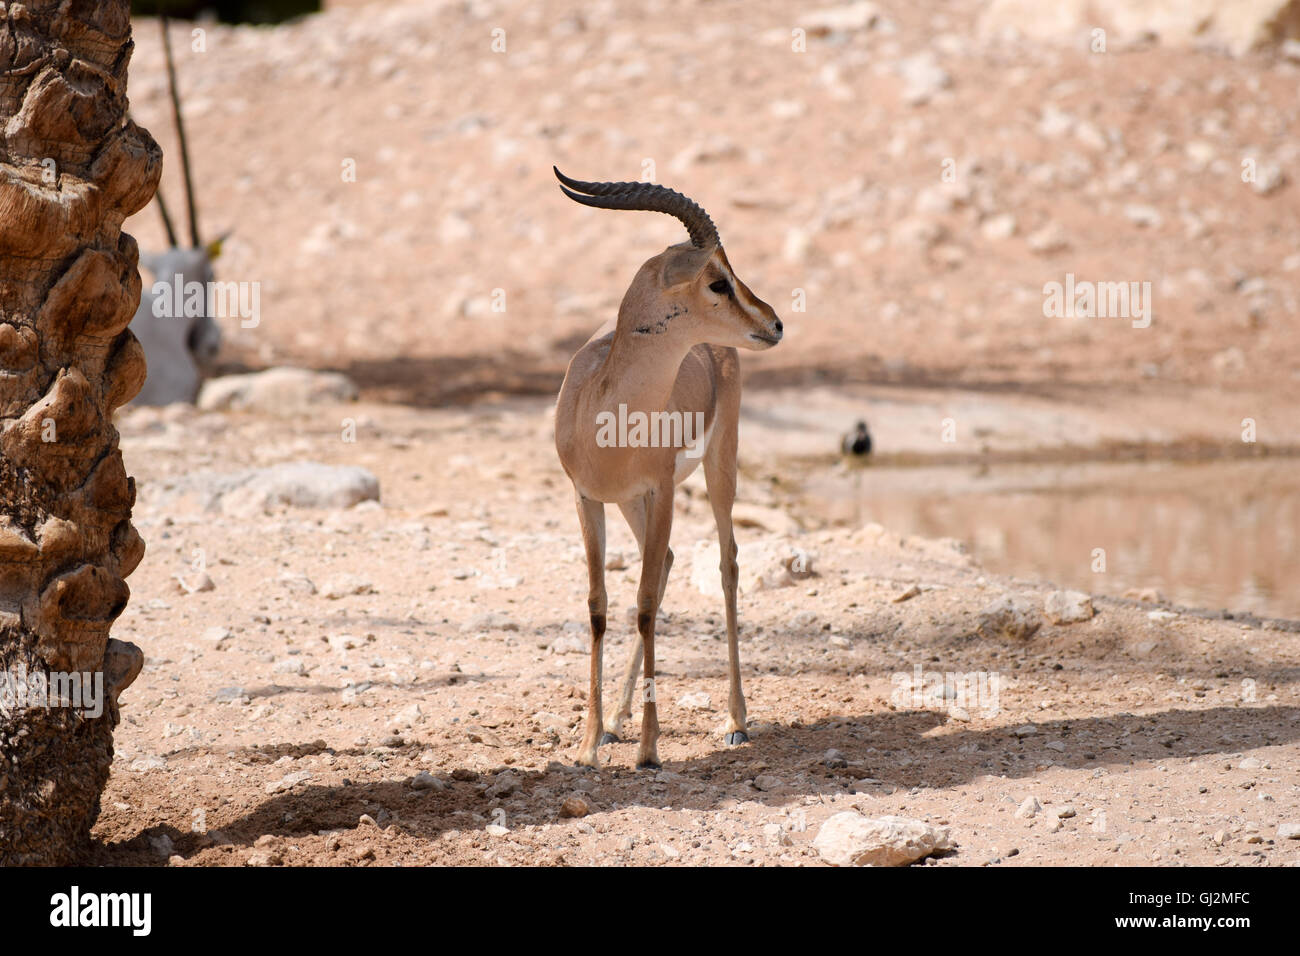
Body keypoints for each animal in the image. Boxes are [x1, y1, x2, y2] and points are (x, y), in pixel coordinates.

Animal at [552, 167, 783, 769]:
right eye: (718, 281)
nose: (775, 323)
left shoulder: (661, 493)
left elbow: (644, 605)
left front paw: (650, 749)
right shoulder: (587, 498)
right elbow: (600, 606)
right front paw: (589, 742)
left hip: (718, 468)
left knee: (726, 564)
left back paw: (735, 722)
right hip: (630, 503)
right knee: (670, 564)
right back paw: (617, 720)